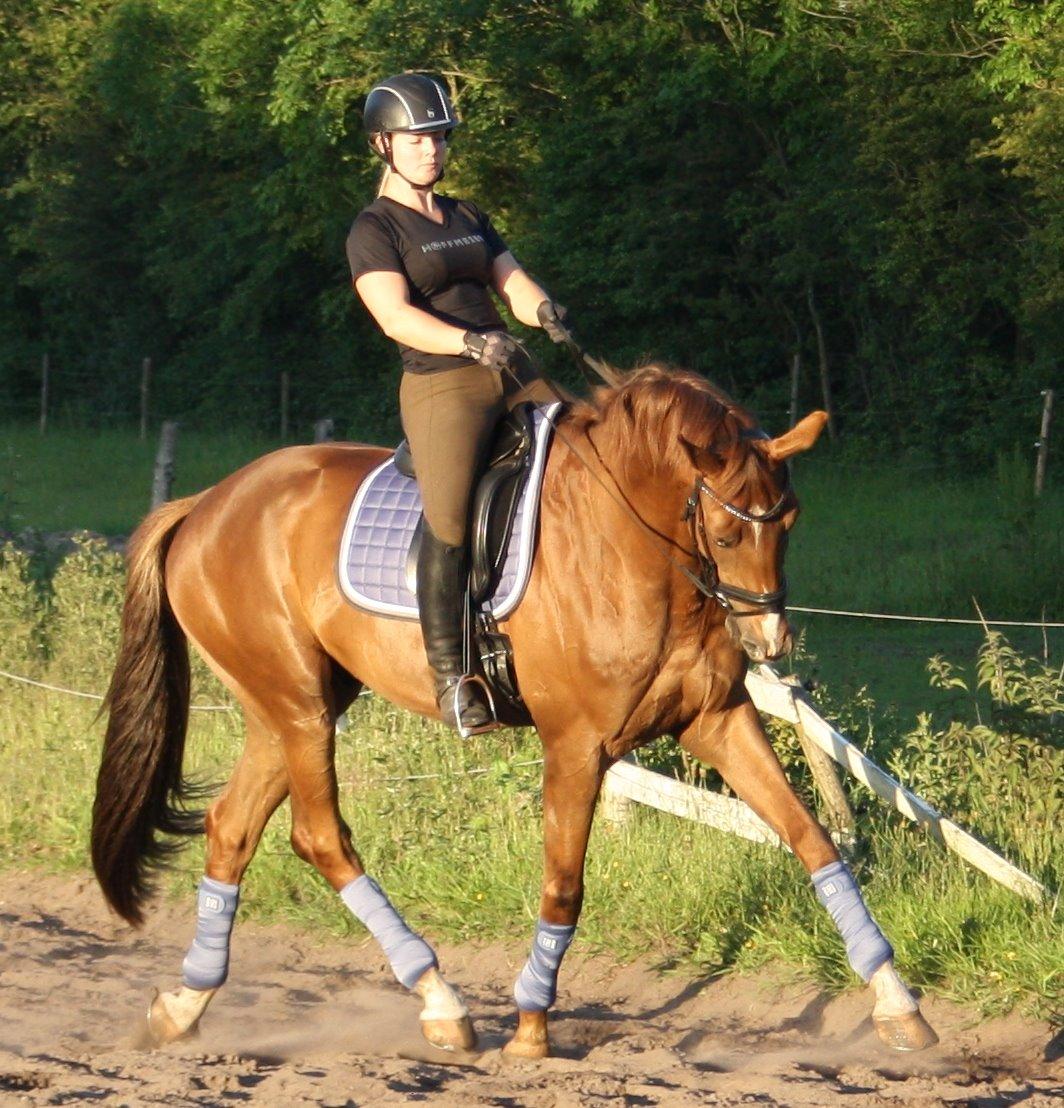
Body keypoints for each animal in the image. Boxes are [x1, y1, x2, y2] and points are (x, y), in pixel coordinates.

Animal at [93, 365, 939, 1054]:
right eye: (728, 531)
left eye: (790, 520)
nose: (768, 639)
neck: (631, 546)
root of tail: (206, 503)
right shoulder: (577, 743)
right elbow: (565, 882)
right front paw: (533, 1024)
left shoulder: (718, 720)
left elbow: (812, 840)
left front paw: (898, 1005)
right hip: (296, 705)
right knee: (319, 836)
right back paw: (442, 1005)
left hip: (291, 708)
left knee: (231, 828)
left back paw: (183, 1007)